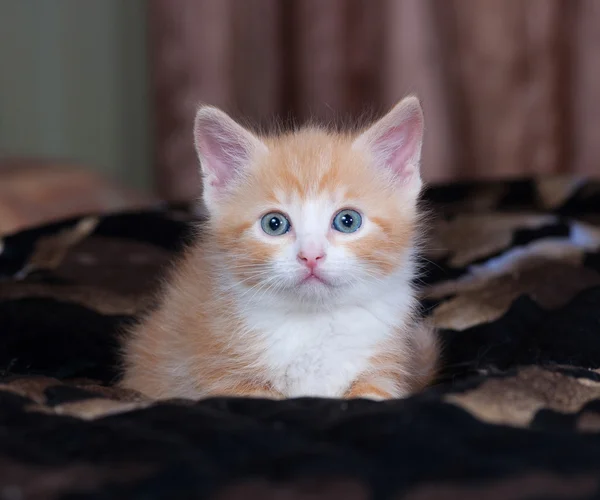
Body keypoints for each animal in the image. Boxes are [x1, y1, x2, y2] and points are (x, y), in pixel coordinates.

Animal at [120, 95, 440, 400]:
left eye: (348, 221)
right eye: (274, 224)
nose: (310, 256)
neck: (314, 322)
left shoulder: (383, 371)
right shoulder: (221, 374)